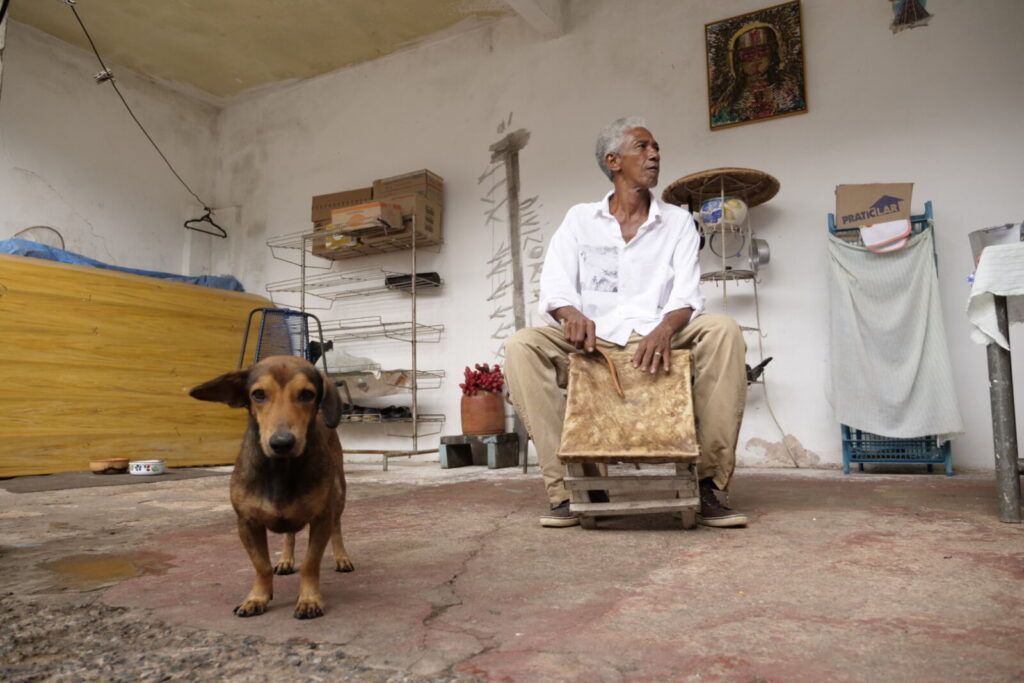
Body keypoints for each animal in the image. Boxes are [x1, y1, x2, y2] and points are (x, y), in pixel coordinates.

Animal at [190, 358, 354, 618]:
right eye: (258, 394)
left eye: (307, 394)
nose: (282, 443)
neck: (280, 468)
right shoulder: (247, 523)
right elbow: (261, 565)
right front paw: (257, 598)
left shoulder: (321, 519)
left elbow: (310, 563)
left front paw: (309, 599)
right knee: (289, 535)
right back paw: (286, 560)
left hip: (339, 494)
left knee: (336, 527)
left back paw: (341, 557)